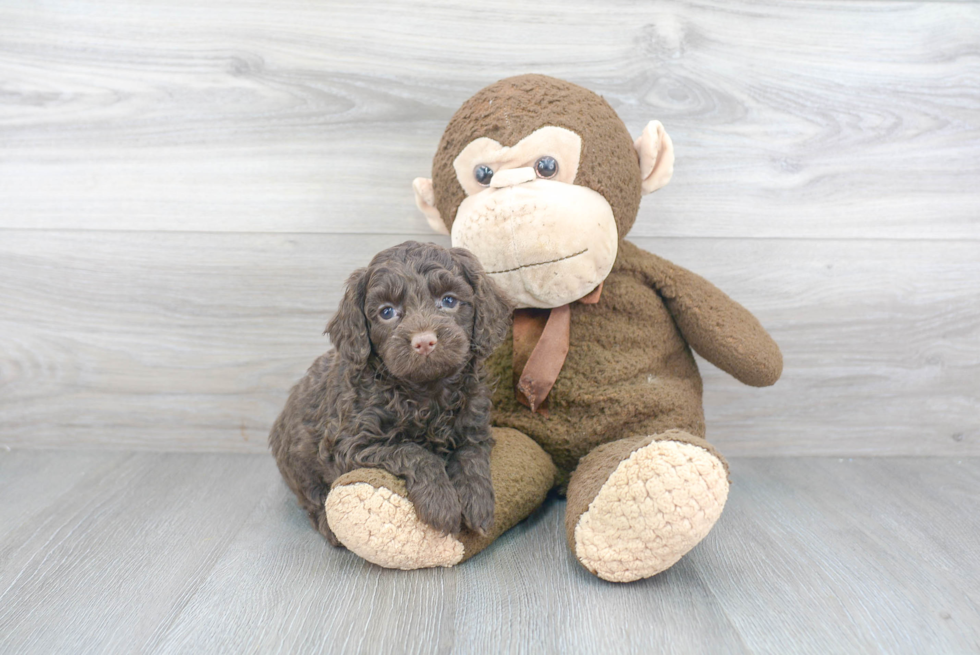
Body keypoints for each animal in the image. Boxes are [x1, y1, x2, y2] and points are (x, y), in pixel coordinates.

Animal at [270, 241, 512, 548]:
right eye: (387, 312)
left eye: (448, 301)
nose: (424, 341)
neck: (425, 392)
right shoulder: (352, 445)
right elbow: (414, 451)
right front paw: (440, 503)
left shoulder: (475, 426)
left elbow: (471, 456)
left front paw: (477, 501)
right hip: (297, 459)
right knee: (312, 495)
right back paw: (328, 525)